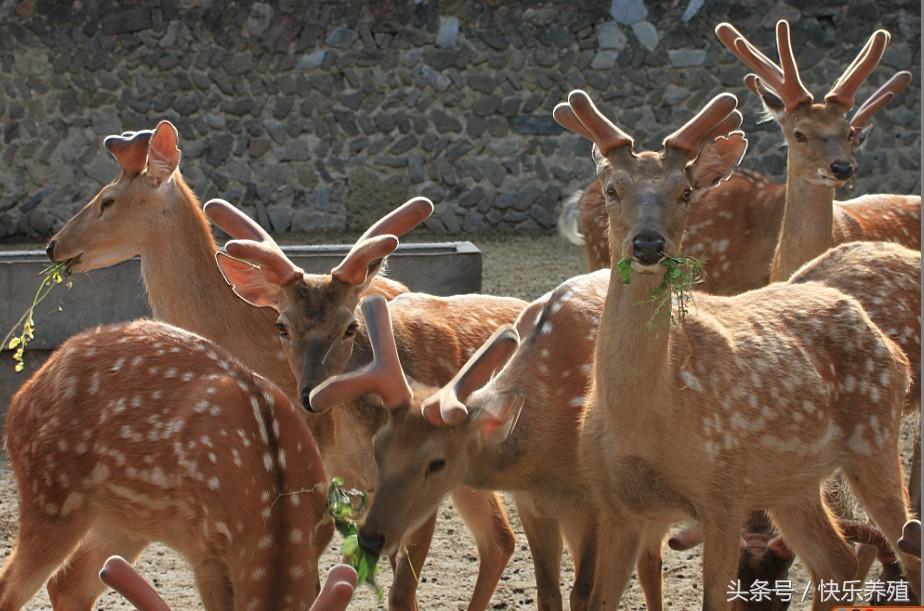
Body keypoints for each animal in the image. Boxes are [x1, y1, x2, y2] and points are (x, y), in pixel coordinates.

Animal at [0, 319, 332, 611]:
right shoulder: (205, 547)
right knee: (12, 587)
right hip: (50, 492)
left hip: (124, 520)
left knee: (67, 585)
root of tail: (18, 400)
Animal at [204, 201, 526, 610]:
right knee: (500, 539)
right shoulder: (353, 484)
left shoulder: (427, 476)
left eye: (350, 326)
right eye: (281, 326)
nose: (311, 394)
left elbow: (401, 591)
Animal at [553, 88, 920, 609]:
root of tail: (883, 338)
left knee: (905, 546)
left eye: (685, 192)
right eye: (612, 189)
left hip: (874, 436)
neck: (645, 417)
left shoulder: (723, 491)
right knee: (837, 561)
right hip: (792, 481)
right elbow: (599, 599)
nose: (648, 244)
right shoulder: (616, 503)